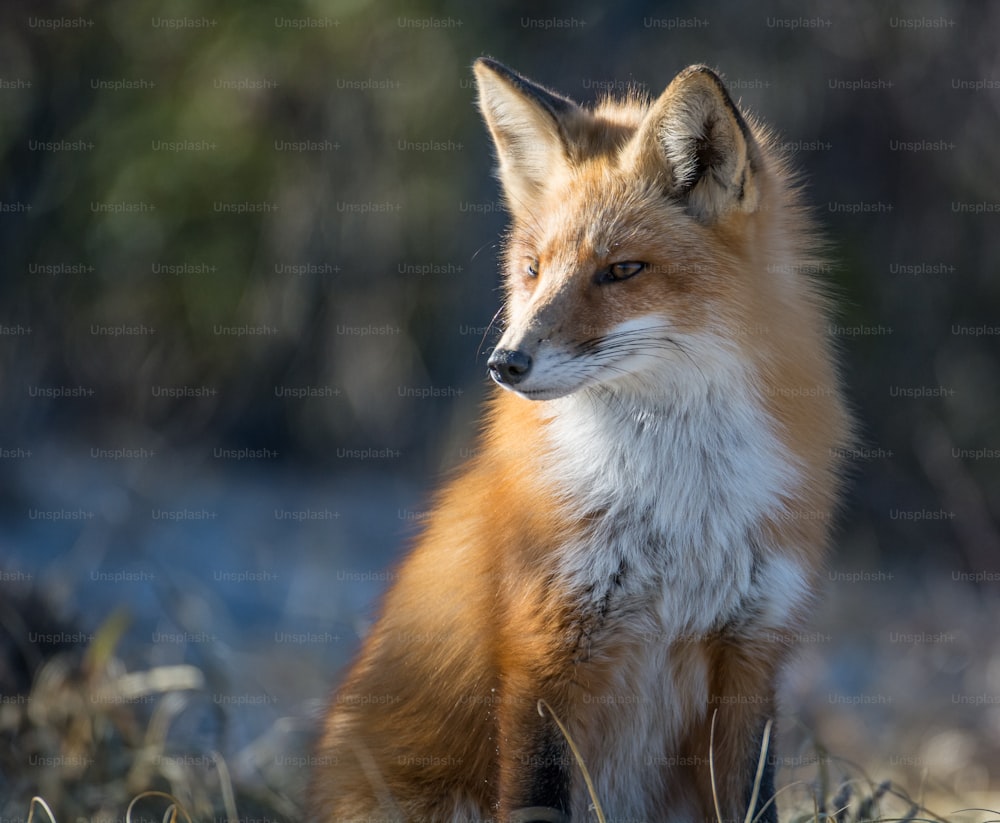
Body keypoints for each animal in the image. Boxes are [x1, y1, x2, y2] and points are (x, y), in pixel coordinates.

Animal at [312, 59, 852, 823]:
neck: (680, 510)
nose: (505, 363)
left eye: (622, 270)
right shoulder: (543, 650)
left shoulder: (752, 654)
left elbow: (753, 800)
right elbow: (538, 795)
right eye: (534, 269)